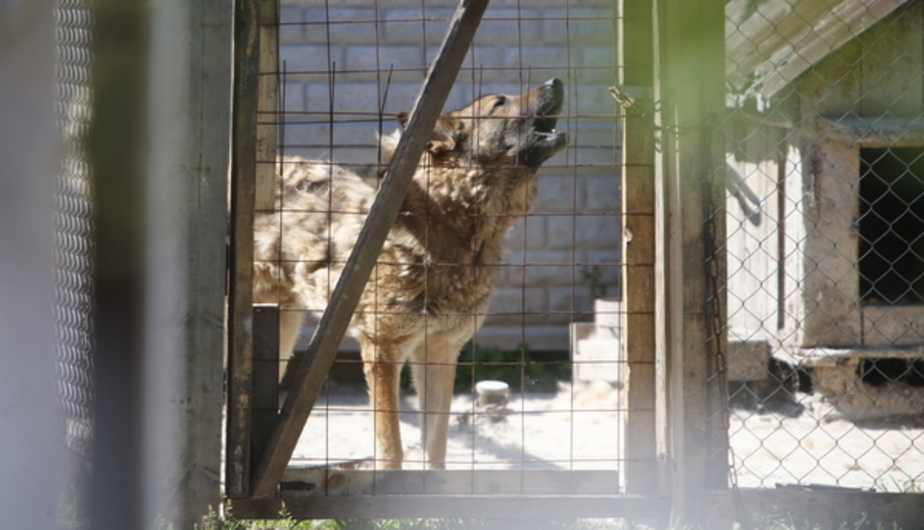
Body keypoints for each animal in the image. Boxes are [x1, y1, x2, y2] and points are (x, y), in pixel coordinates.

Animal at [254, 78, 572, 466]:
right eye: (500, 104)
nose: (555, 81)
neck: (451, 229)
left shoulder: (440, 351)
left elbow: (435, 446)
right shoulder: (382, 351)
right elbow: (392, 450)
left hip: (282, 336)